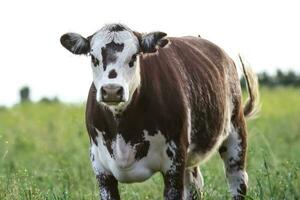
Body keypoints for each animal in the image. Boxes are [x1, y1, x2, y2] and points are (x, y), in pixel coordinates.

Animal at [59, 22, 258, 199]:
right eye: (94, 58)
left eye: (134, 57)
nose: (112, 90)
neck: (123, 128)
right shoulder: (101, 169)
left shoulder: (174, 163)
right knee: (195, 186)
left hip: (236, 134)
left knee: (237, 181)